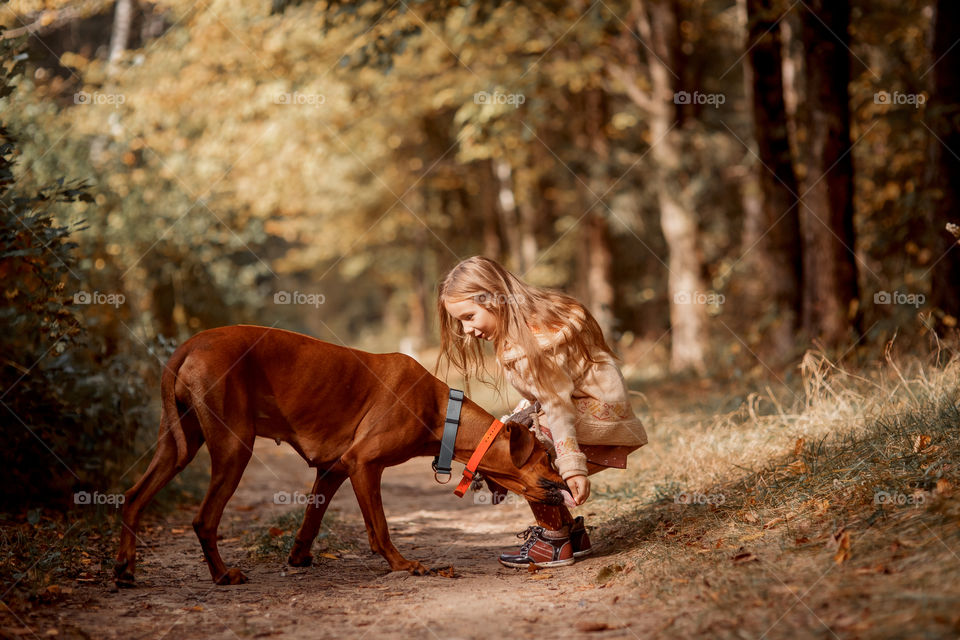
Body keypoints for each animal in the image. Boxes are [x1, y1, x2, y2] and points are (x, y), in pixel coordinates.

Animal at [114, 324, 568, 584]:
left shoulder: (332, 469)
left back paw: (125, 570)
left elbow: (311, 519)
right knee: (204, 519)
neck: (443, 412)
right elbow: (379, 528)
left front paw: (298, 557)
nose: (566, 487)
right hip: (233, 446)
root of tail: (189, 344)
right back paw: (222, 575)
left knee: (132, 498)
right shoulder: (363, 464)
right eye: (547, 458)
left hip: (178, 444)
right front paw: (403, 565)